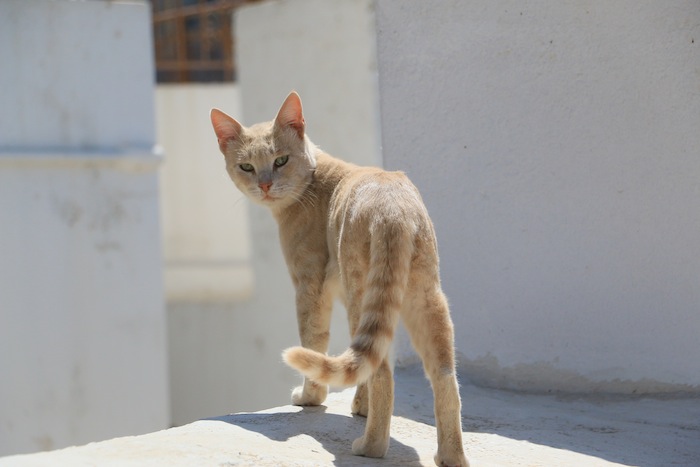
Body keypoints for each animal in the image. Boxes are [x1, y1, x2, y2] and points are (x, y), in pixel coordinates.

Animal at [211, 91, 468, 467]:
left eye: (281, 160)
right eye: (246, 167)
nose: (265, 185)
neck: (314, 180)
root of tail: (393, 209)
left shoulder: (310, 286)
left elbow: (314, 343)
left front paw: (310, 397)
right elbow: (359, 361)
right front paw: (360, 407)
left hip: (362, 289)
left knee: (383, 375)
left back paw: (370, 446)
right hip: (425, 300)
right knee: (445, 378)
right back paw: (450, 456)